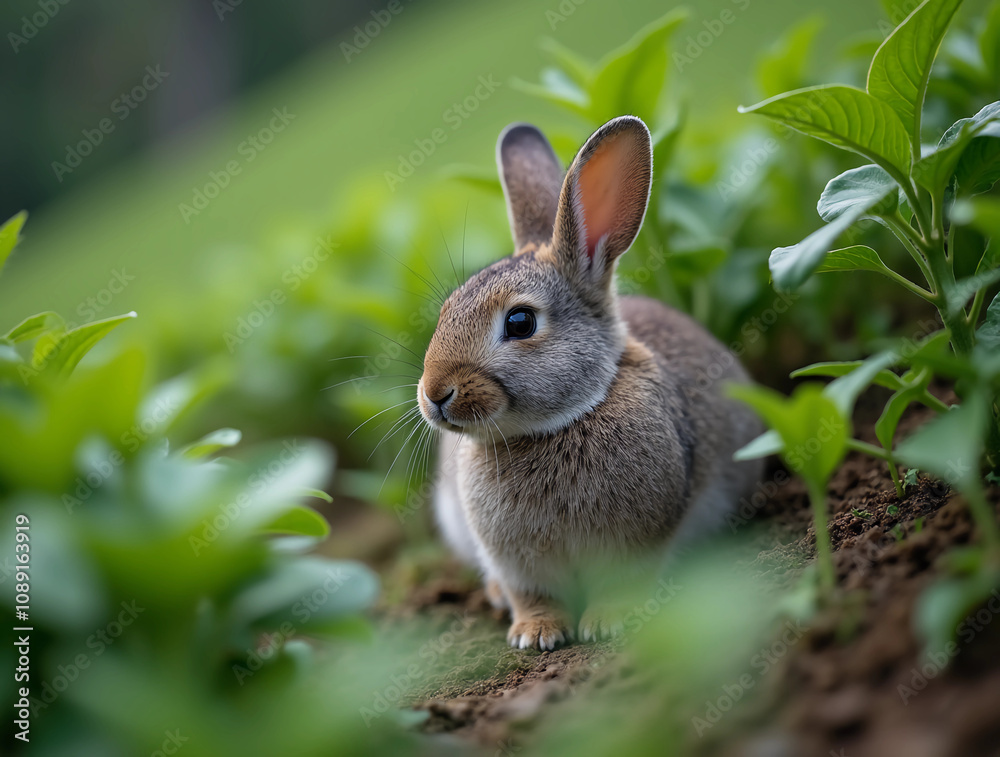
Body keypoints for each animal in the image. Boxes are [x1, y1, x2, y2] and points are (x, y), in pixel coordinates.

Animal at [417, 115, 764, 650]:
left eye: (520, 322)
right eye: (446, 310)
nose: (434, 394)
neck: (557, 424)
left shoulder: (635, 542)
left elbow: (621, 583)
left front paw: (607, 622)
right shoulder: (517, 563)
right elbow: (532, 595)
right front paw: (535, 634)